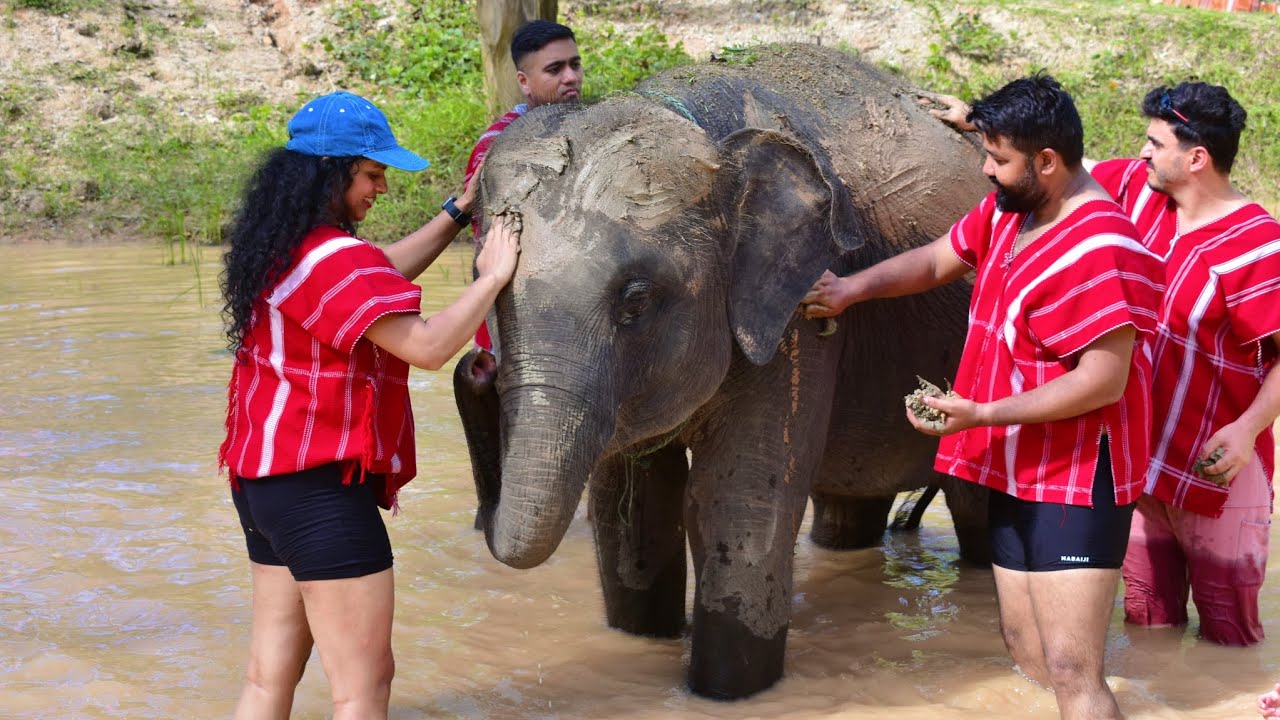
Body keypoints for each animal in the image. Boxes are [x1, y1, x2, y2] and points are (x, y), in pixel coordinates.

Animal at [451, 44, 992, 700]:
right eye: (481, 280)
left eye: (635, 301)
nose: (476, 366)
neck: (705, 132)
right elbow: (631, 503)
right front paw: (641, 645)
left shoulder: (795, 314)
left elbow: (734, 499)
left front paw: (725, 694)